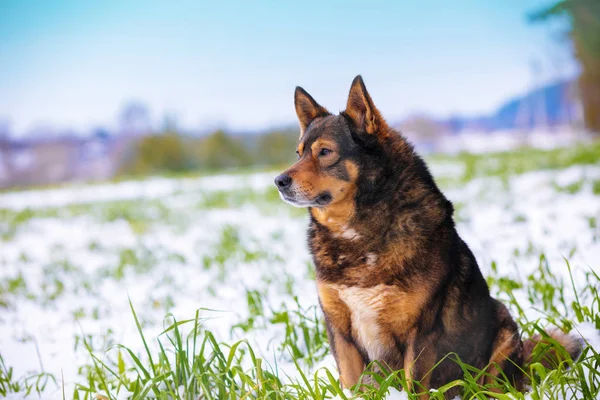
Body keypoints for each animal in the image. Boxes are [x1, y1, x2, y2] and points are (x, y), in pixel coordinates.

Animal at [274, 76, 584, 396]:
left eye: (325, 152)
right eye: (299, 153)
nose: (279, 181)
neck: (360, 233)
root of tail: (524, 365)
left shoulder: (421, 332)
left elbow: (415, 387)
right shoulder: (339, 329)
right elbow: (350, 384)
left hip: (503, 328)